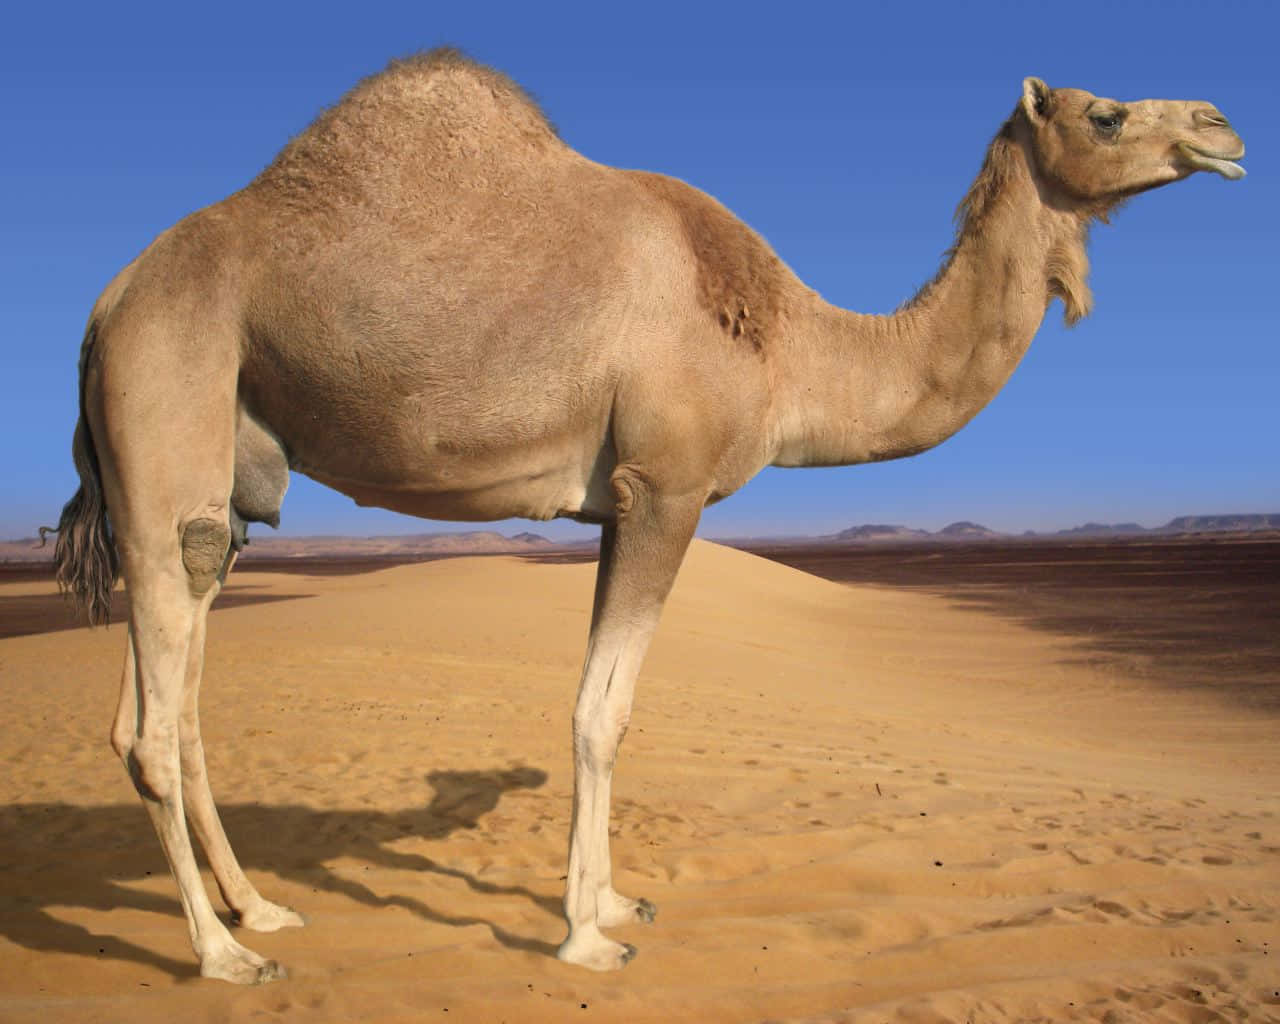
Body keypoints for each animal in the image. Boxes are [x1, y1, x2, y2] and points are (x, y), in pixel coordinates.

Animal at [47, 50, 1244, 982]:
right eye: (1105, 111)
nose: (1222, 127)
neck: (793, 343)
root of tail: (106, 307)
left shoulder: (617, 501)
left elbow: (604, 704)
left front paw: (616, 901)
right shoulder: (665, 487)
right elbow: (600, 712)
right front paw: (587, 936)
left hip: (222, 486)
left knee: (169, 700)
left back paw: (261, 908)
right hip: (168, 409)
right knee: (153, 723)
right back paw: (220, 954)